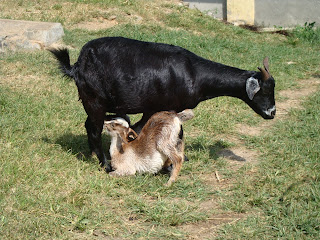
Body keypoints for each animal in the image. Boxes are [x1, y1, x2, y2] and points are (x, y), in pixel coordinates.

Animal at [49, 36, 276, 171]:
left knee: (89, 125)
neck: (195, 74)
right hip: (94, 100)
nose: (272, 113)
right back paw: (105, 164)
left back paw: (94, 155)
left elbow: (138, 129)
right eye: (265, 90)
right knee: (95, 130)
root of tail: (77, 65)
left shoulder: (152, 109)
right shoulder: (167, 107)